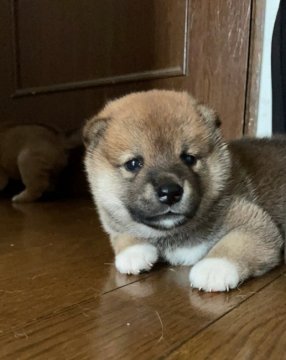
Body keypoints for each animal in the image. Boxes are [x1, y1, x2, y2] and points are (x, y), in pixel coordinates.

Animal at [82, 90, 284, 292]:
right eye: (133, 164)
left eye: (189, 158)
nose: (170, 192)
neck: (171, 234)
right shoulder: (113, 222)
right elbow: (121, 235)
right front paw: (132, 252)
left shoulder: (253, 221)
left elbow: (234, 243)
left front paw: (214, 268)